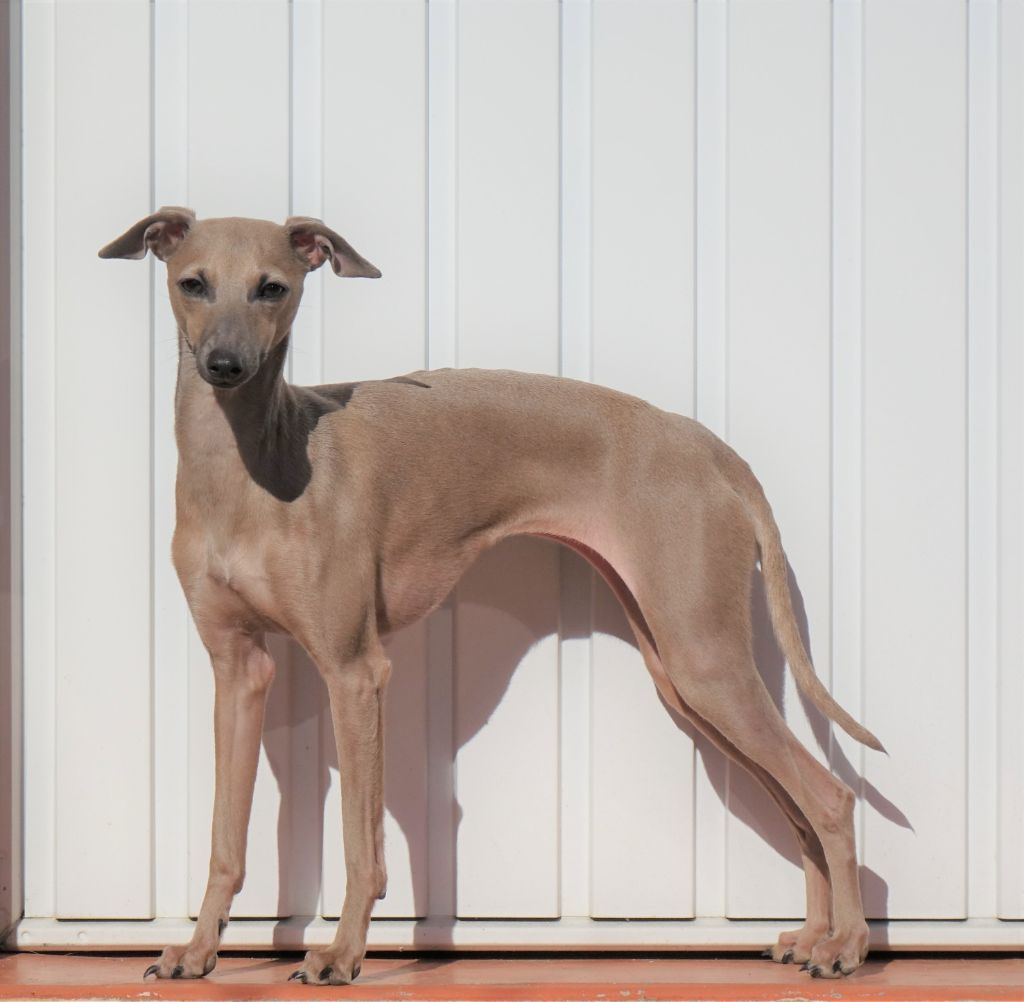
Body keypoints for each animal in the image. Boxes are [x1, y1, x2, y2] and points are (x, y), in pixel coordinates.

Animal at [99, 207, 884, 982]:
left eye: (272, 288)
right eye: (193, 283)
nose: (225, 367)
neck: (257, 462)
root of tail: (711, 448)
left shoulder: (355, 672)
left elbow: (361, 846)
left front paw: (343, 954)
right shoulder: (240, 673)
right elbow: (224, 839)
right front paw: (197, 951)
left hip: (704, 660)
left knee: (830, 796)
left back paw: (846, 946)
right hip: (684, 673)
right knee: (798, 807)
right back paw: (812, 938)